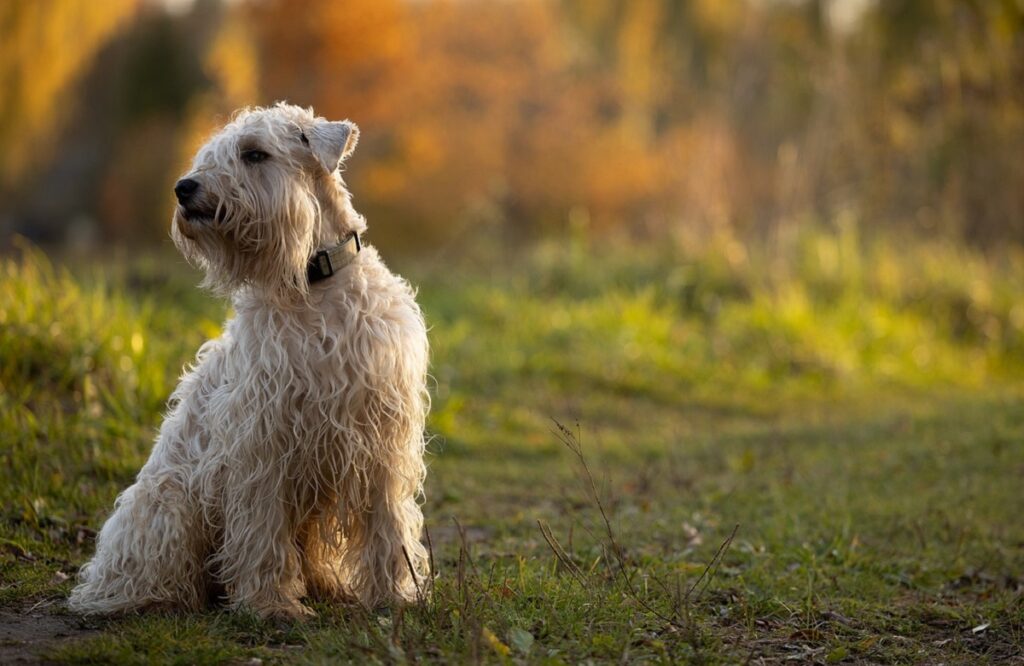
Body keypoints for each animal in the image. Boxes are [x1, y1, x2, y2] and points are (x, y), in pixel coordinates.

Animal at [67, 103, 428, 618]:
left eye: (255, 153)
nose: (183, 188)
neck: (313, 285)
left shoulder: (381, 436)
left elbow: (388, 524)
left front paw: (395, 595)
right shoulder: (262, 438)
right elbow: (262, 528)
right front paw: (270, 603)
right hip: (171, 504)